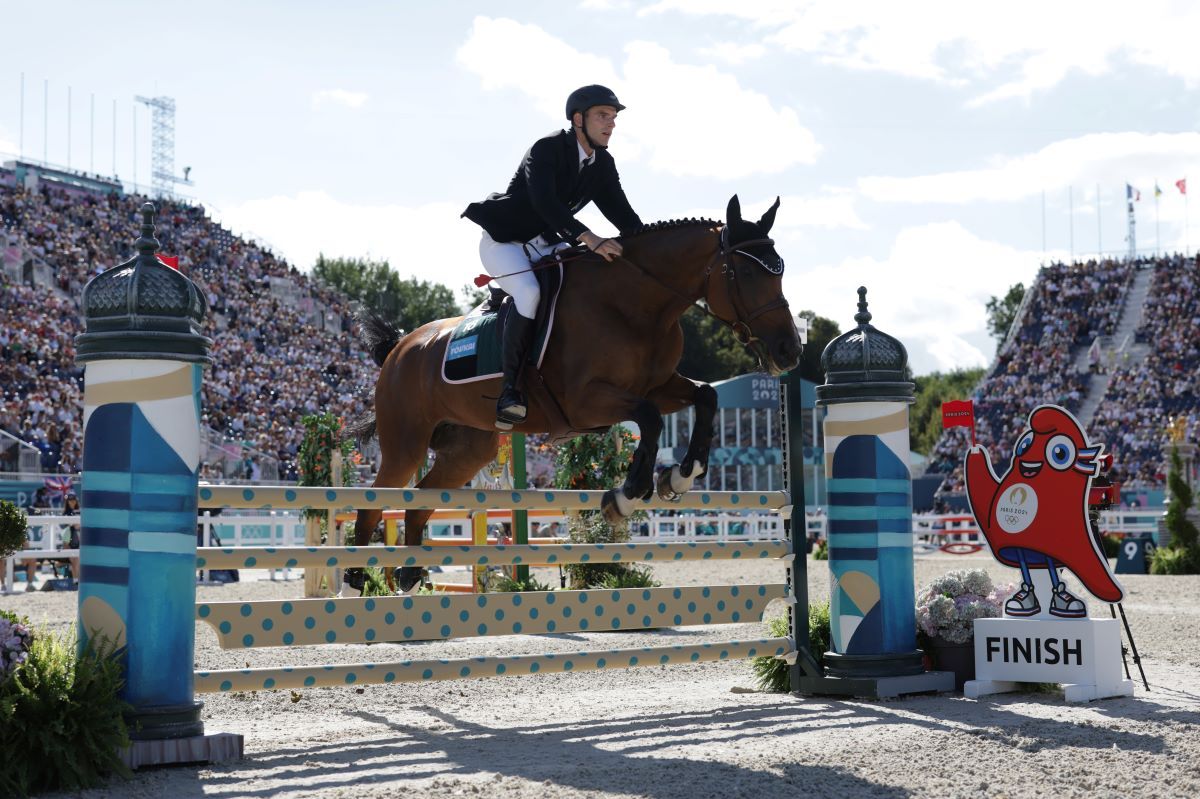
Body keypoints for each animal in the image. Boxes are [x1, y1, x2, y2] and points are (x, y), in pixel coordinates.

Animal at [345, 195, 796, 587]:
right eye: (747, 273)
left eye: (780, 270)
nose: (789, 350)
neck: (634, 304)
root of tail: (400, 346)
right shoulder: (585, 403)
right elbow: (649, 417)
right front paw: (626, 495)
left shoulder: (659, 385)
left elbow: (705, 395)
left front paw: (681, 476)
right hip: (406, 444)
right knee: (374, 502)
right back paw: (354, 582)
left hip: (468, 450)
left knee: (421, 498)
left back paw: (408, 574)